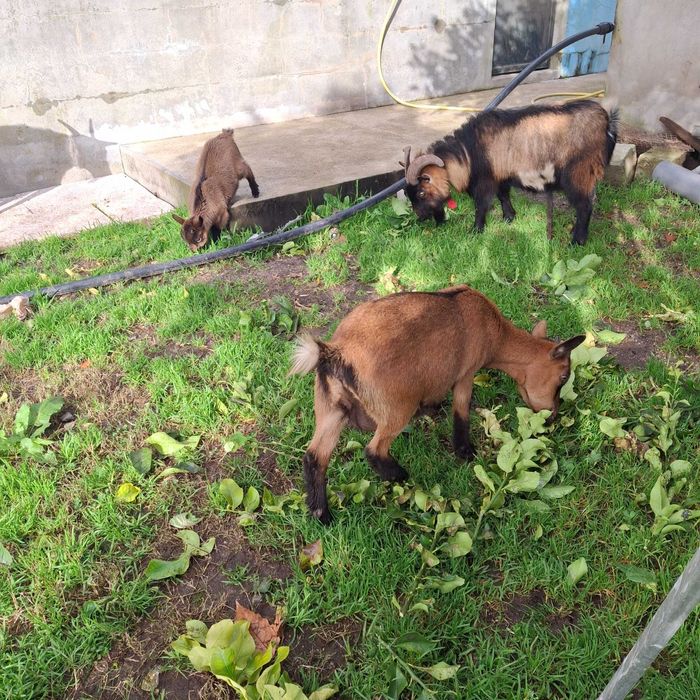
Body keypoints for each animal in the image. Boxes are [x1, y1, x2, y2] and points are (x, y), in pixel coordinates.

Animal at [289, 285, 584, 523]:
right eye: (563, 376)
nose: (552, 415)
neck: (494, 330)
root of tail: (335, 352)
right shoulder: (466, 374)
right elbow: (462, 411)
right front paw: (466, 452)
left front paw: (432, 409)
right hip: (395, 409)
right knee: (374, 449)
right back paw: (400, 476)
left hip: (331, 409)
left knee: (315, 457)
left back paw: (322, 515)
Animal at [403, 100, 618, 245]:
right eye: (407, 193)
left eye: (421, 192)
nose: (420, 217)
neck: (468, 151)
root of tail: (607, 123)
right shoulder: (501, 177)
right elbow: (503, 196)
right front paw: (509, 218)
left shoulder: (486, 180)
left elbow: (481, 205)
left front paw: (475, 231)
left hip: (578, 174)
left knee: (585, 206)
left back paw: (577, 241)